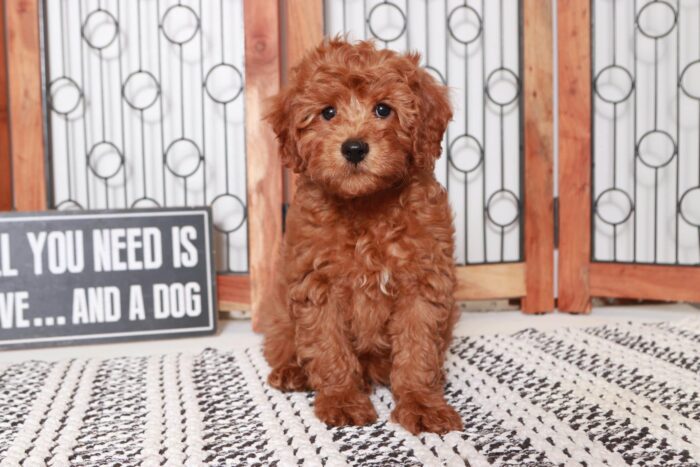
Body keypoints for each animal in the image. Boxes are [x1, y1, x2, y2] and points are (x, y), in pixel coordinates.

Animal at [260, 38, 462, 436]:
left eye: (383, 109)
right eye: (328, 112)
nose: (354, 148)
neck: (366, 205)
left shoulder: (422, 281)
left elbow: (418, 349)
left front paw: (421, 402)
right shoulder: (318, 283)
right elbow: (329, 347)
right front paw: (341, 400)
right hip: (279, 312)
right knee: (284, 342)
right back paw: (292, 371)